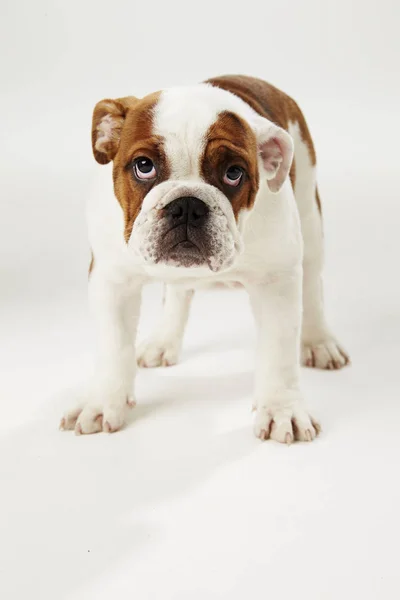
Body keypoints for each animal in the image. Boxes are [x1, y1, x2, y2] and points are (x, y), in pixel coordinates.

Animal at [60, 74, 350, 440]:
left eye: (233, 173)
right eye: (144, 166)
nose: (187, 205)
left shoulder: (277, 281)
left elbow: (279, 352)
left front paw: (282, 410)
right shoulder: (112, 280)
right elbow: (114, 345)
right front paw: (102, 402)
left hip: (310, 222)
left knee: (312, 288)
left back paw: (319, 342)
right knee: (177, 292)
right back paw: (162, 341)